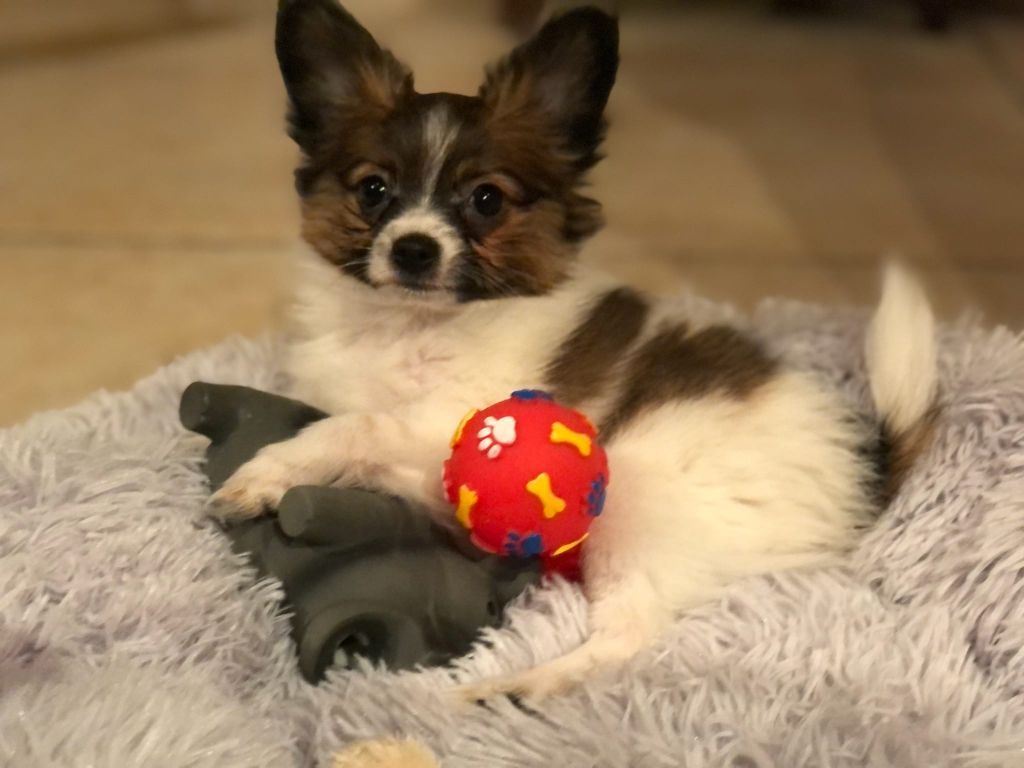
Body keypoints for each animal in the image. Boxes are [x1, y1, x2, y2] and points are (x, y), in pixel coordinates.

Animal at [211, 0, 937, 708]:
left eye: (486, 200)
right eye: (372, 191)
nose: (414, 248)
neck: (409, 327)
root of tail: (861, 473)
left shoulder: (450, 423)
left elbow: (354, 427)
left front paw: (265, 472)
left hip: (634, 500)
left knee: (627, 638)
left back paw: (515, 687)